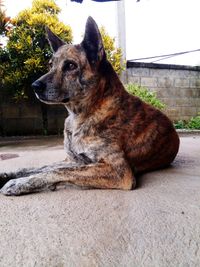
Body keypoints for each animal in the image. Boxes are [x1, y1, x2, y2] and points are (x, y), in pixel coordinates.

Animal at [0, 17, 180, 197]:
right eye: (51, 65)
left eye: (70, 66)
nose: (35, 86)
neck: (83, 113)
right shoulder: (73, 159)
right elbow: (41, 167)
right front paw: (10, 174)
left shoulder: (118, 171)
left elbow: (57, 171)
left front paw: (20, 183)